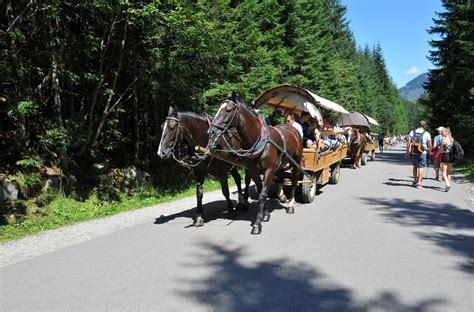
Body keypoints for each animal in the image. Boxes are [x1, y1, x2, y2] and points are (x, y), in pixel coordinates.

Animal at [208, 99, 304, 234]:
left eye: (228, 110)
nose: (211, 132)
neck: (259, 140)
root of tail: (292, 129)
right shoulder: (254, 171)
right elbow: (261, 191)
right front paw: (266, 214)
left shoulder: (269, 170)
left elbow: (263, 194)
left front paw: (257, 223)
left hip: (296, 160)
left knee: (295, 180)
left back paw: (290, 204)